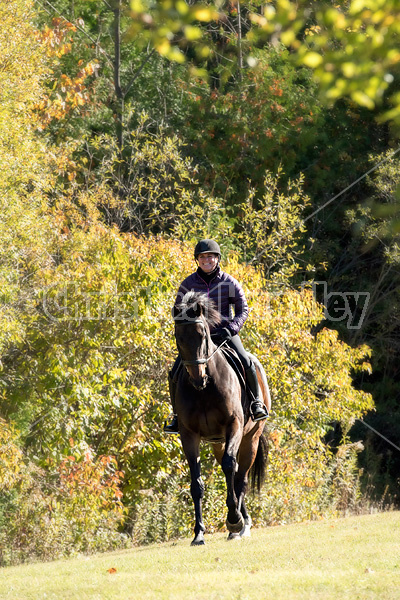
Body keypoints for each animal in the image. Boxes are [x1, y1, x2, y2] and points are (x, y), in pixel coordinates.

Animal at [173, 290, 270, 544]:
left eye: (202, 334)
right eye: (178, 337)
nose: (197, 377)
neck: (204, 390)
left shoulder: (233, 425)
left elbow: (230, 467)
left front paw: (234, 519)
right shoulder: (189, 435)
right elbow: (196, 483)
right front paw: (198, 533)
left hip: (250, 439)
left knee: (240, 477)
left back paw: (241, 524)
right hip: (217, 443)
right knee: (233, 474)